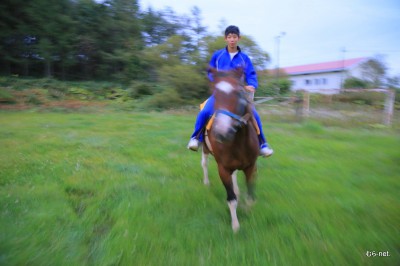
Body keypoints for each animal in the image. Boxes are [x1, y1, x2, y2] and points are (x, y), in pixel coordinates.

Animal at [203, 68, 260, 233]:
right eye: (214, 93)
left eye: (239, 92)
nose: (222, 133)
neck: (238, 141)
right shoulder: (223, 169)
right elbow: (231, 198)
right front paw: (235, 226)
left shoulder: (251, 167)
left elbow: (250, 195)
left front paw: (248, 211)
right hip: (204, 149)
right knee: (204, 163)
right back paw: (206, 182)